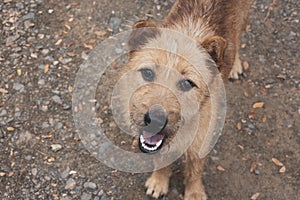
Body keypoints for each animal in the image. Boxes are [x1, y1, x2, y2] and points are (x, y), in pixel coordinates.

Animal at [125, 0, 251, 199]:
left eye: (187, 83)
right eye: (147, 73)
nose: (155, 120)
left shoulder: (201, 141)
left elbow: (194, 171)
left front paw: (195, 193)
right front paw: (159, 181)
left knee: (238, 40)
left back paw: (235, 65)